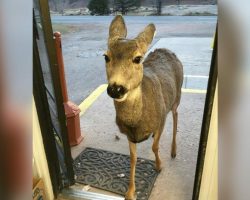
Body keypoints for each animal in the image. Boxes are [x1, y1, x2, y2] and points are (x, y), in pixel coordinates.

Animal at [103, 14, 184, 199]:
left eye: (137, 58)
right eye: (106, 56)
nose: (116, 88)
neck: (137, 122)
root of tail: (167, 50)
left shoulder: (161, 119)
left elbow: (155, 146)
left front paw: (159, 166)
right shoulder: (129, 134)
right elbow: (133, 158)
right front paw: (130, 192)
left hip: (177, 96)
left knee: (176, 114)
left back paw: (173, 151)